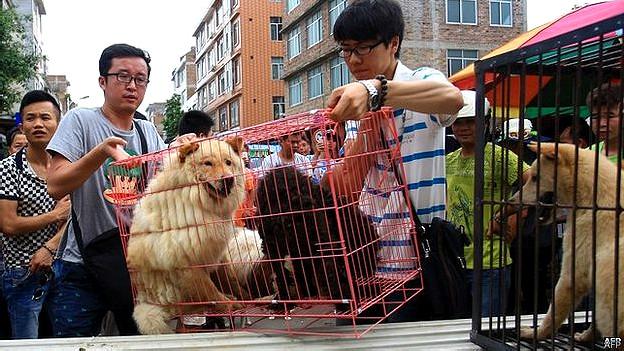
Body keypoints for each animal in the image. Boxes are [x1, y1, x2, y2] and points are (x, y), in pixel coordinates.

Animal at [125, 138, 250, 336]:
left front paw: (244, 298)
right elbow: (210, 292)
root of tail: (143, 299)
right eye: (208, 163)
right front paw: (229, 304)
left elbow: (231, 280)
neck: (197, 201)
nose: (228, 179)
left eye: (228, 162)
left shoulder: (216, 252)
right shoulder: (188, 264)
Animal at [516, 143, 620, 340]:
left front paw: (535, 332)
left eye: (535, 177)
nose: (512, 200)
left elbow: (567, 287)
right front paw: (587, 335)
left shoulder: (583, 238)